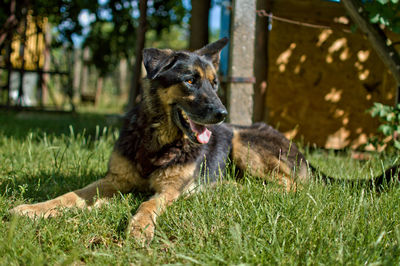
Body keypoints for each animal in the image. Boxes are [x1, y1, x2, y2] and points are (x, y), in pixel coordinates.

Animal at [9, 37, 400, 243]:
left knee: (292, 186)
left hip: (243, 142)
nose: (222, 113)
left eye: (214, 82)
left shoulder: (170, 190)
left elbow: (148, 204)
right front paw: (34, 209)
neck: (158, 141)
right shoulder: (113, 180)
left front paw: (140, 227)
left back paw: (240, 189)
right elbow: (70, 196)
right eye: (190, 81)